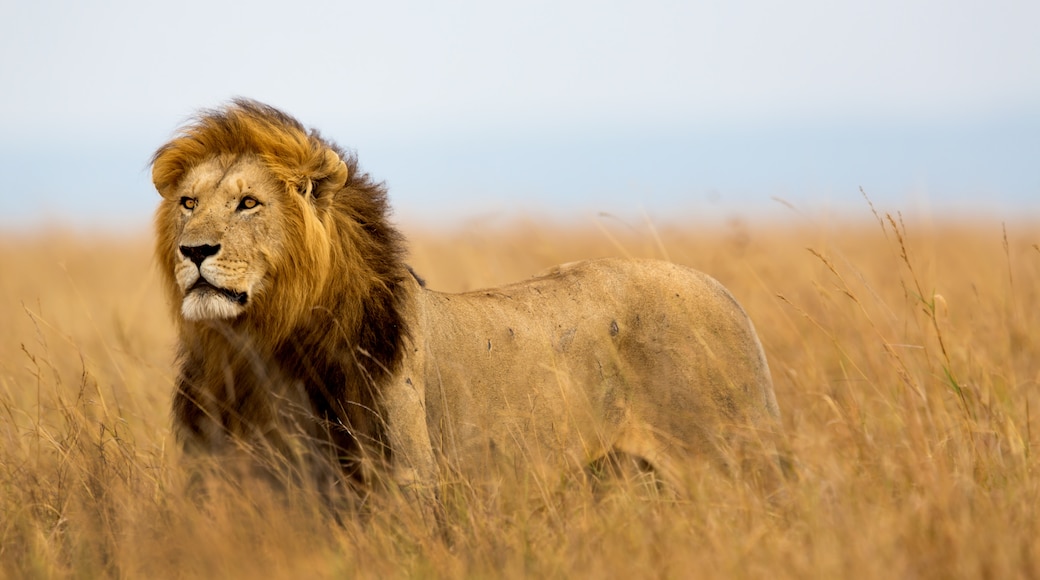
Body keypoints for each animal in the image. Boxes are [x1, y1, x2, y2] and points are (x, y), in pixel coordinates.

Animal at [148, 98, 782, 505]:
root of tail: (725, 294)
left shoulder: (403, 484)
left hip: (732, 461)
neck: (257, 346)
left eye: (248, 203)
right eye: (187, 203)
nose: (193, 250)